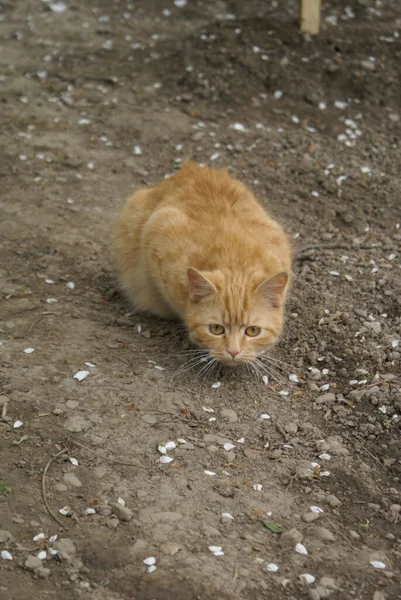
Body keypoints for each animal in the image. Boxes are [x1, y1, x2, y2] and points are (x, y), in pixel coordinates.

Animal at [111, 163, 290, 366]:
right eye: (216, 329)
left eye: (253, 331)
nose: (233, 352)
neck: (234, 260)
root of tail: (190, 167)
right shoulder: (158, 229)